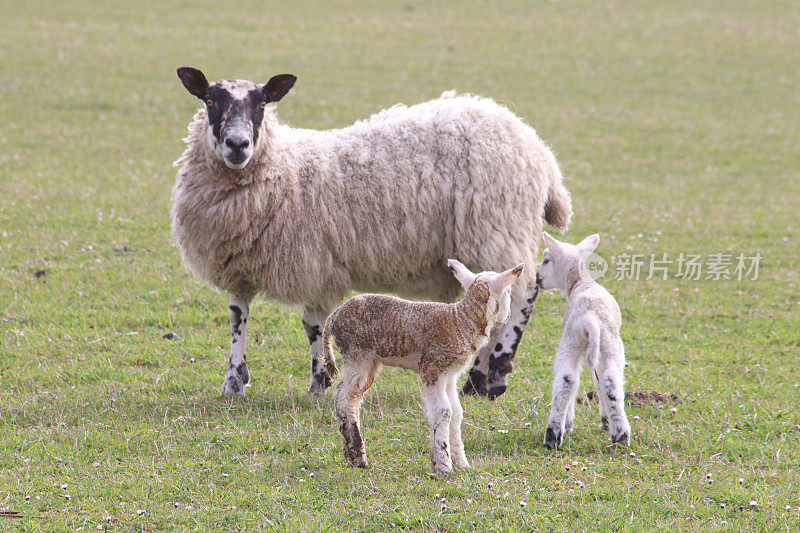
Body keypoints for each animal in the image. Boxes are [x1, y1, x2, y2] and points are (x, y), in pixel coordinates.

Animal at [172, 66, 572, 396]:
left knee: (520, 298)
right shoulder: (239, 263)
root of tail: (541, 152)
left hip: (498, 229)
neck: (282, 168)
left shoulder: (316, 262)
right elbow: (237, 318)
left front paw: (320, 380)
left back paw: (489, 378)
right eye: (210, 100)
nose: (237, 145)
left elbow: (314, 325)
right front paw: (234, 381)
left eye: (261, 104)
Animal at [322, 260, 528, 472]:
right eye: (509, 292)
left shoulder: (450, 375)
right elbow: (443, 412)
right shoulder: (432, 367)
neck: (461, 321)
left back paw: (352, 454)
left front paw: (461, 463)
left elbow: (456, 413)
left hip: (369, 360)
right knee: (343, 399)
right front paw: (443, 463)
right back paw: (358, 456)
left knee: (353, 398)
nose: (507, 316)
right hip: (357, 353)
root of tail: (333, 317)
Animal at [536, 233, 636, 448]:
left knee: (567, 381)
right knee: (610, 381)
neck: (579, 282)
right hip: (609, 344)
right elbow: (598, 381)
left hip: (572, 341)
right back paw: (621, 435)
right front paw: (605, 418)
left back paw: (553, 435)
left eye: (546, 260)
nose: (537, 279)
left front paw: (571, 423)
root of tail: (591, 319)